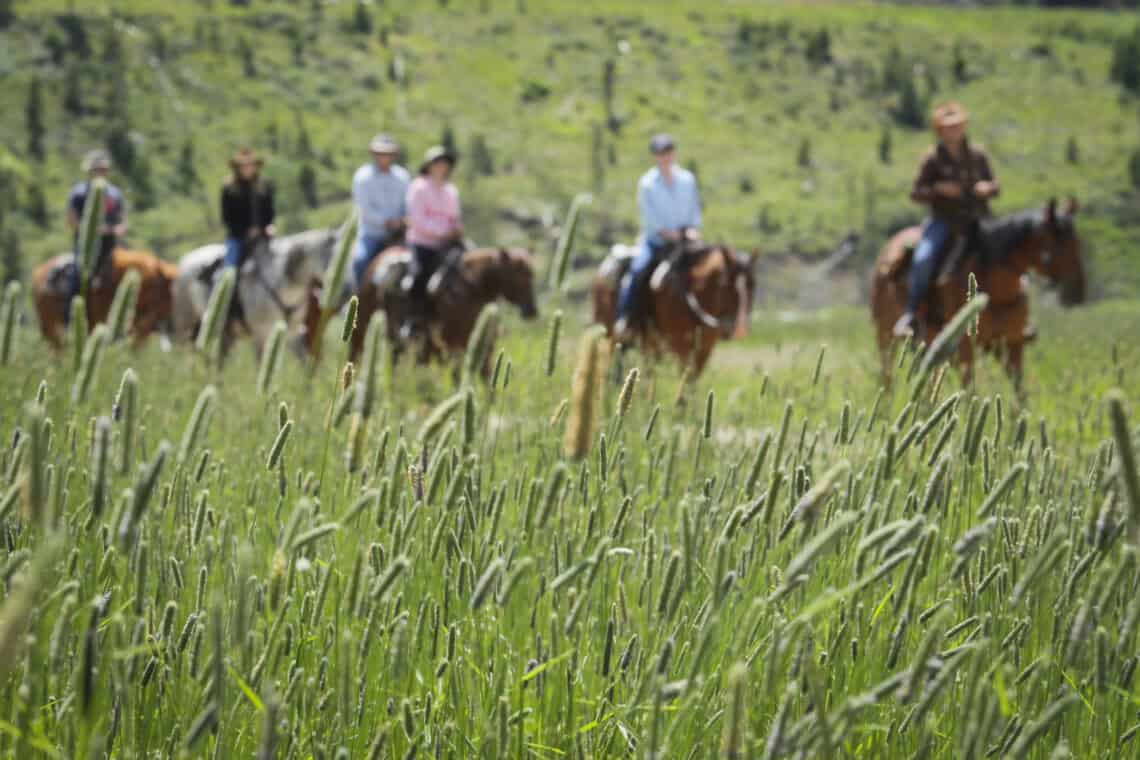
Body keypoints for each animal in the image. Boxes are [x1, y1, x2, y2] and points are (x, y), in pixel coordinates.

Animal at [305, 248, 540, 366]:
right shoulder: (453, 348)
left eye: (532, 275)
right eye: (518, 276)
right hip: (363, 329)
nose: (532, 311)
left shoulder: (480, 350)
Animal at [592, 243, 752, 373]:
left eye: (752, 286)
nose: (729, 328)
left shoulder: (704, 349)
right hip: (611, 329)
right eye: (724, 285)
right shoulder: (680, 345)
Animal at [870, 199, 1085, 389]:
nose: (1078, 292)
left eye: (1077, 242)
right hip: (885, 334)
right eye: (1059, 245)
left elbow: (1019, 394)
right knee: (887, 378)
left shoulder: (1012, 344)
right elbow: (967, 391)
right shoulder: (965, 348)